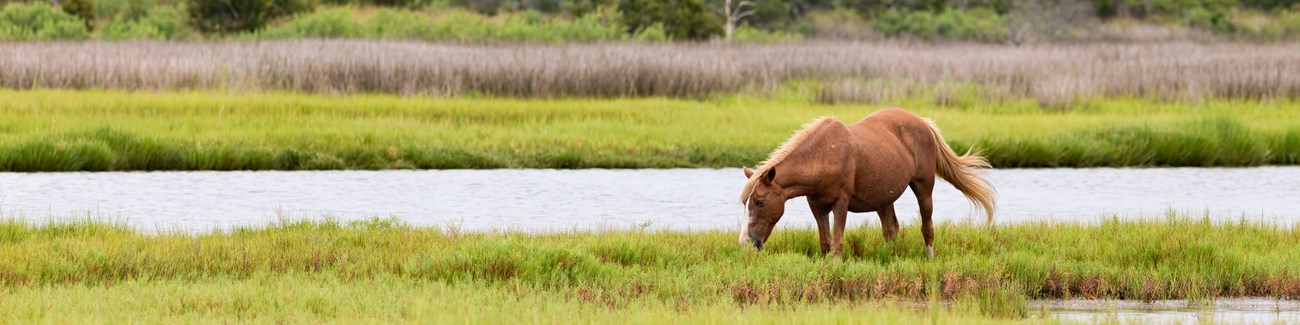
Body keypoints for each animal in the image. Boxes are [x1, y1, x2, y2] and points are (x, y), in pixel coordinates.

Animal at [738, 109, 998, 258]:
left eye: (759, 202)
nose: (745, 243)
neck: (823, 155)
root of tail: (923, 123)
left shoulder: (841, 203)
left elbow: (837, 240)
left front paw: (835, 266)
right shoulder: (816, 205)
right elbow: (824, 241)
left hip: (924, 186)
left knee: (927, 225)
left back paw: (929, 257)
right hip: (884, 198)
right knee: (891, 228)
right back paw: (885, 258)